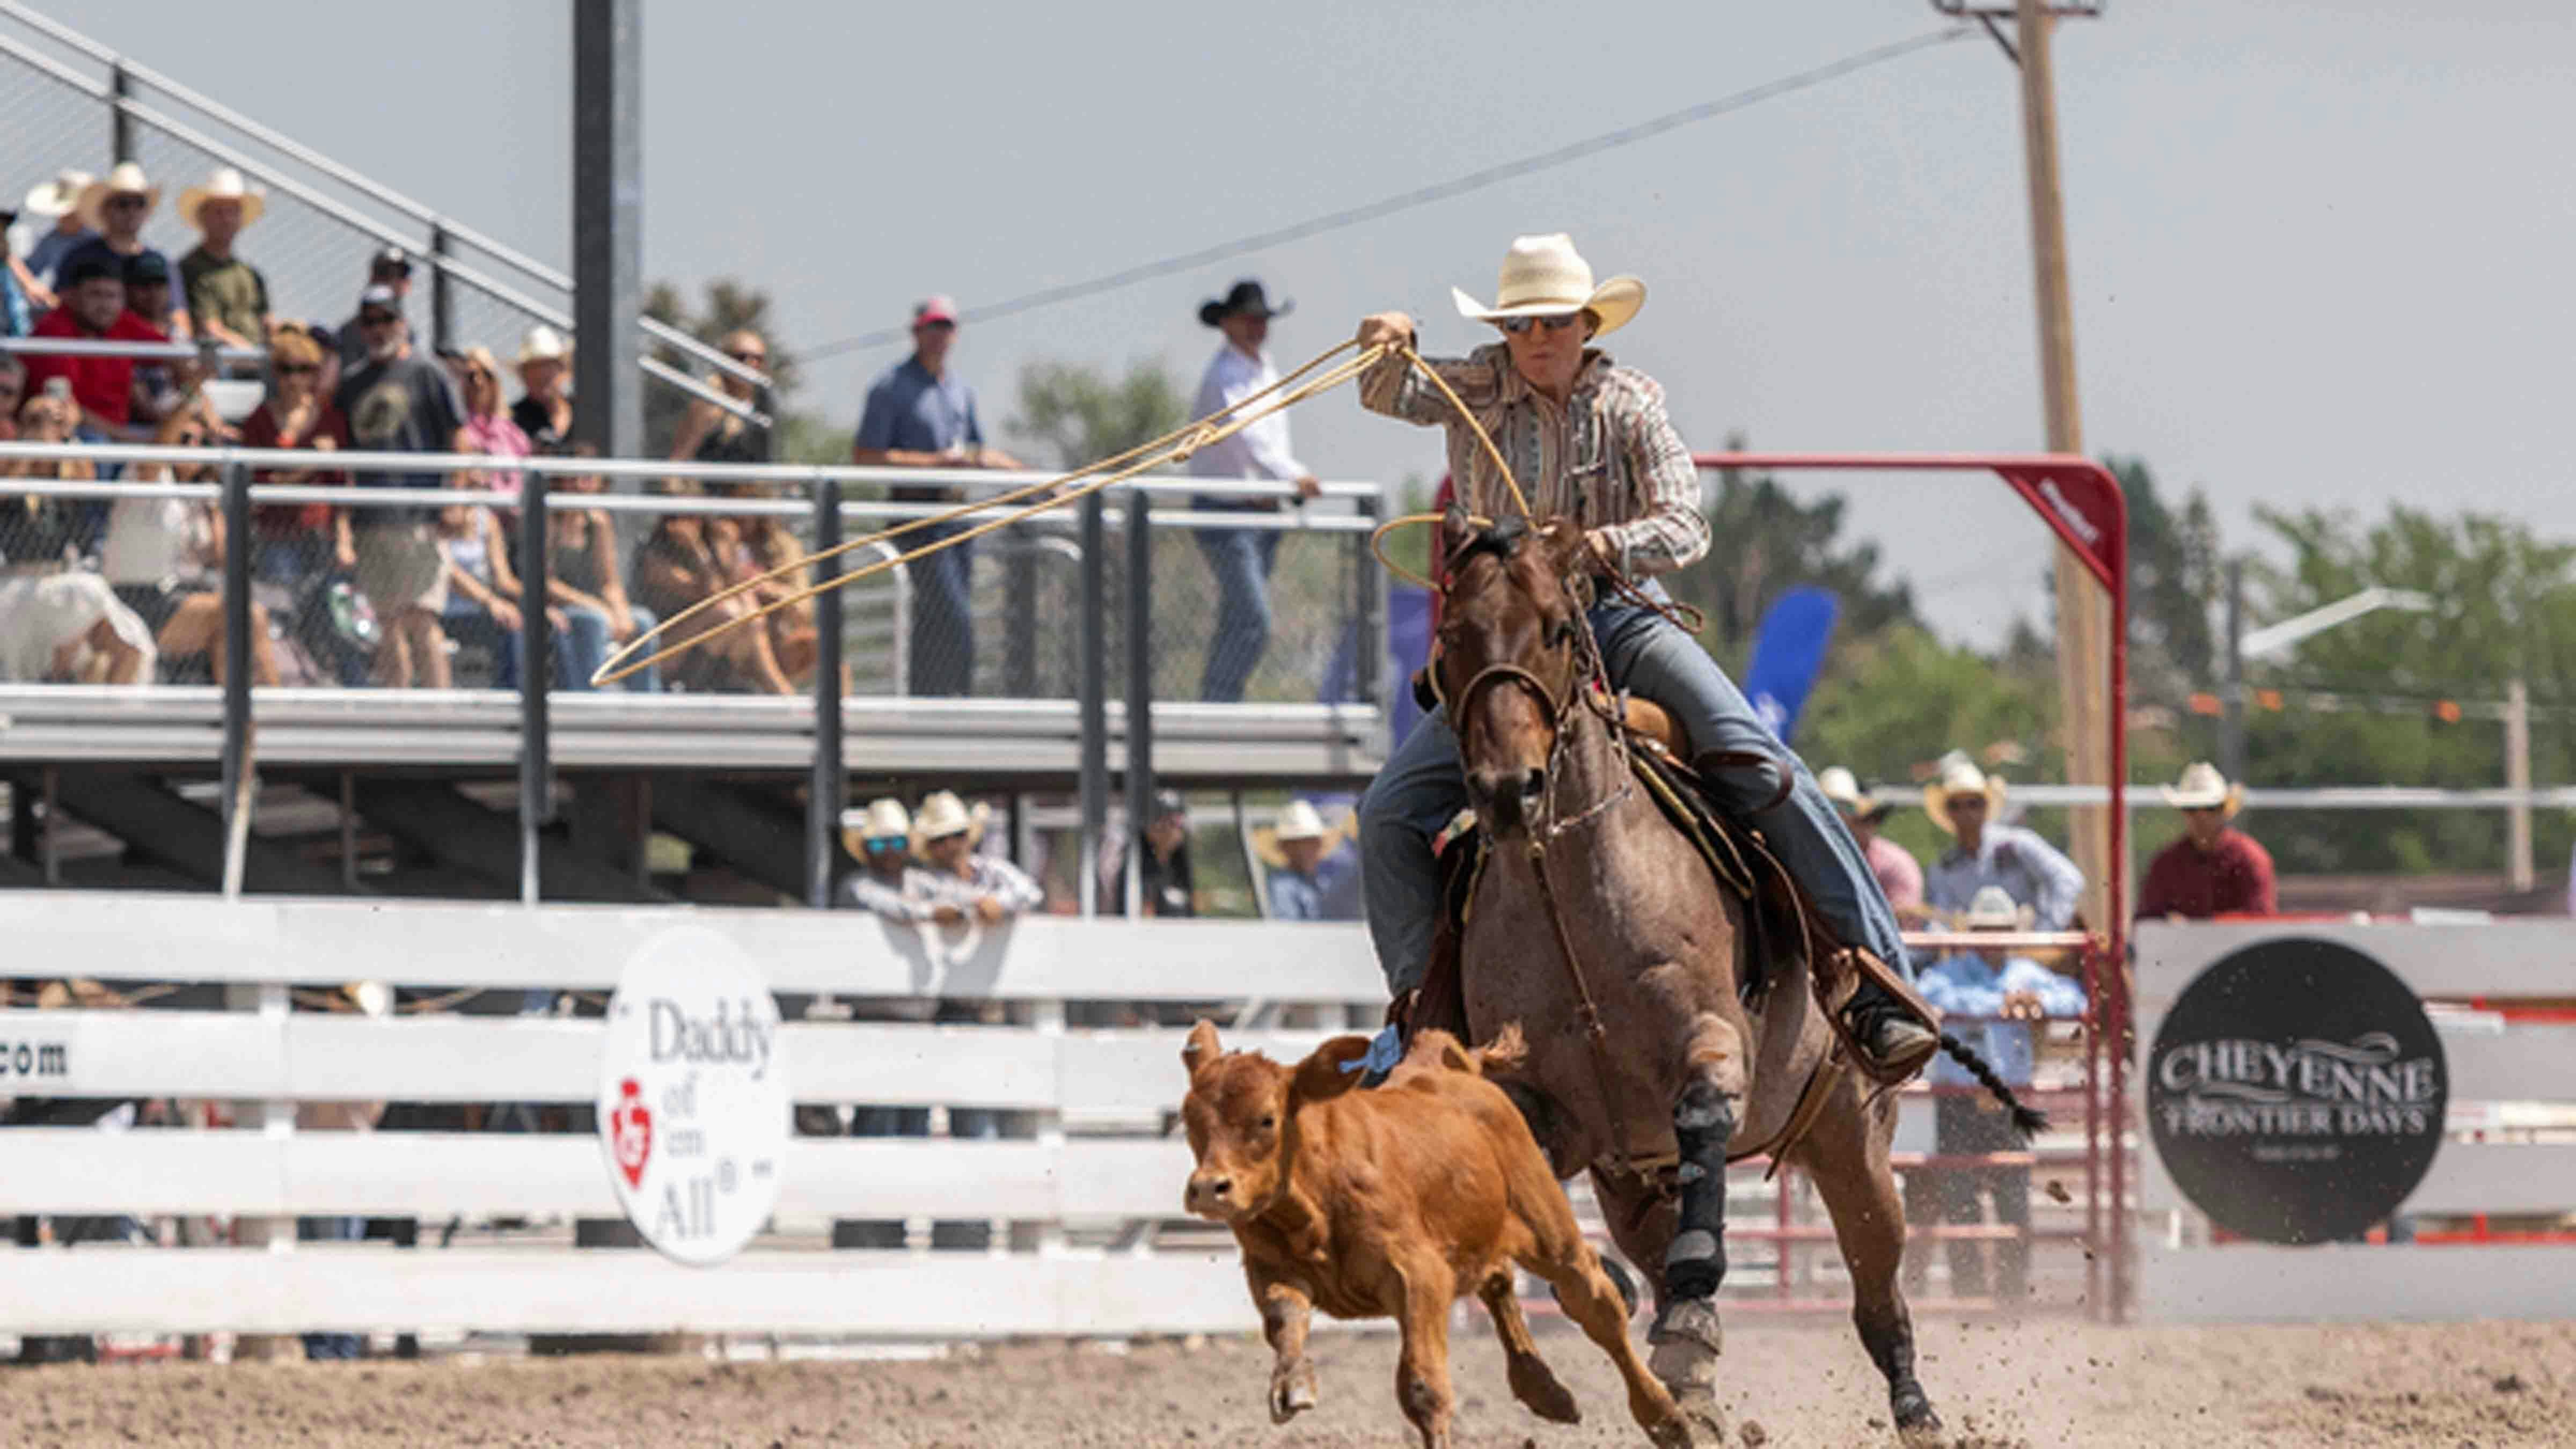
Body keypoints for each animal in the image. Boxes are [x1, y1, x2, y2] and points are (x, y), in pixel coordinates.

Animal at [1180, 1015, 1689, 1444]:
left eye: (1266, 1119)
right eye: (1190, 1120)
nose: (1208, 1188)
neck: (1314, 1193)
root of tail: (1445, 1068)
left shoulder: (1420, 1276)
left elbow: (1423, 1387)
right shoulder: (1271, 1271)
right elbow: (1286, 1321)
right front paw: (1294, 1382)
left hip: (1553, 1236)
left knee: (1598, 1308)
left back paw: (1669, 1418)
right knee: (1499, 1280)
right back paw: (1545, 1390)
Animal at [1432, 508, 1937, 1433]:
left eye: (1559, 630)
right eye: (1451, 639)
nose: (1510, 791)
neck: (1572, 906)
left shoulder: (1710, 1045)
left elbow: (1702, 1120)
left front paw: (1693, 1324)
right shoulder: (1549, 1109)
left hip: (1853, 1142)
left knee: (1879, 1292)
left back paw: (1915, 1411)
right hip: (1636, 1182)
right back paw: (1680, 1390)